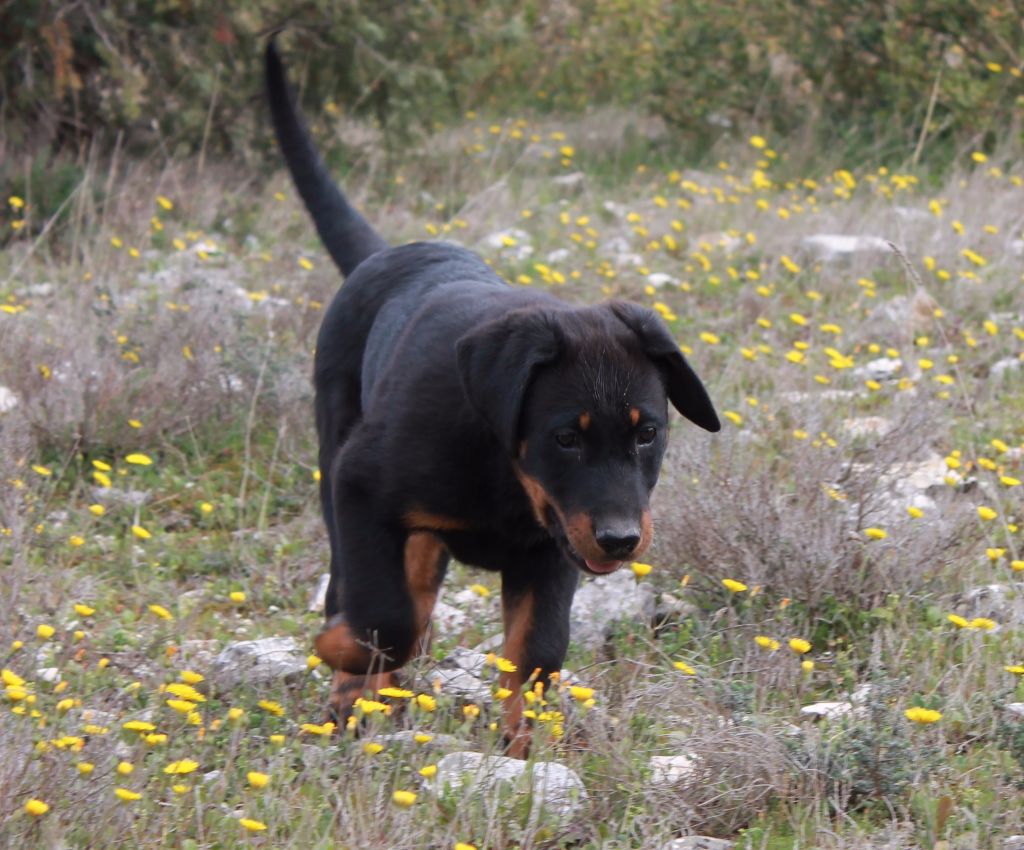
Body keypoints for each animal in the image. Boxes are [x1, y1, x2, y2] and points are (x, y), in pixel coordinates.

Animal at [268, 41, 724, 757]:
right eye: (565, 437)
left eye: (647, 432)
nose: (622, 539)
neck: (503, 467)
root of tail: (388, 253)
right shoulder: (361, 487)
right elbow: (383, 618)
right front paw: (343, 651)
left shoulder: (555, 545)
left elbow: (536, 650)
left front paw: (520, 753)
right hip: (334, 458)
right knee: (359, 586)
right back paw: (349, 699)